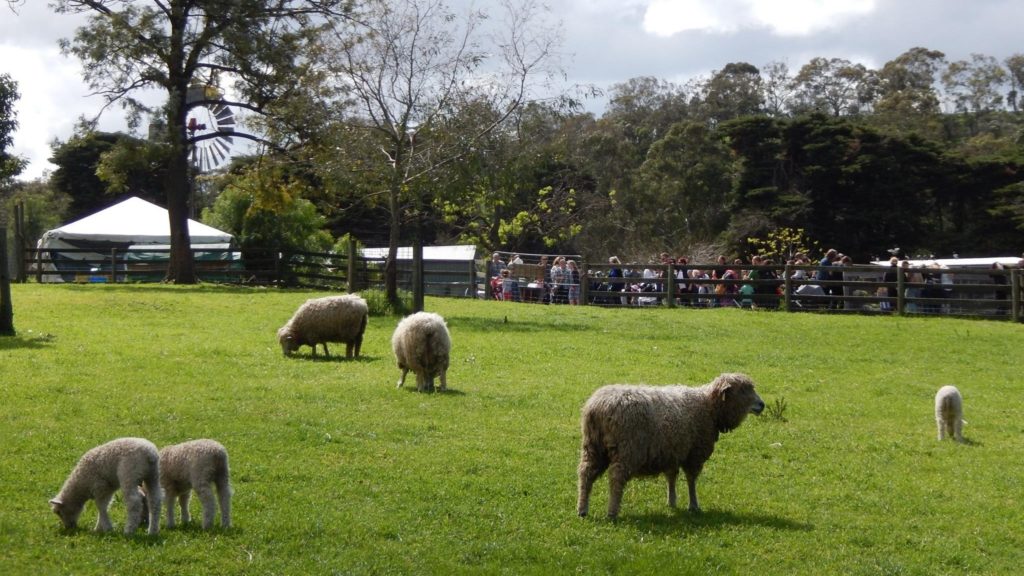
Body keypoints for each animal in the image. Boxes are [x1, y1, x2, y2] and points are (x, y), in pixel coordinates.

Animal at [577, 368, 761, 518]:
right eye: (743, 390)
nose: (762, 405)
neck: (709, 407)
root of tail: (598, 407)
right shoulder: (694, 453)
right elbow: (691, 480)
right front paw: (693, 505)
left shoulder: (672, 451)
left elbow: (671, 476)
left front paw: (671, 502)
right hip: (628, 449)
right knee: (616, 478)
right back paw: (612, 512)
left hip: (593, 447)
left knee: (586, 473)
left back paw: (582, 509)